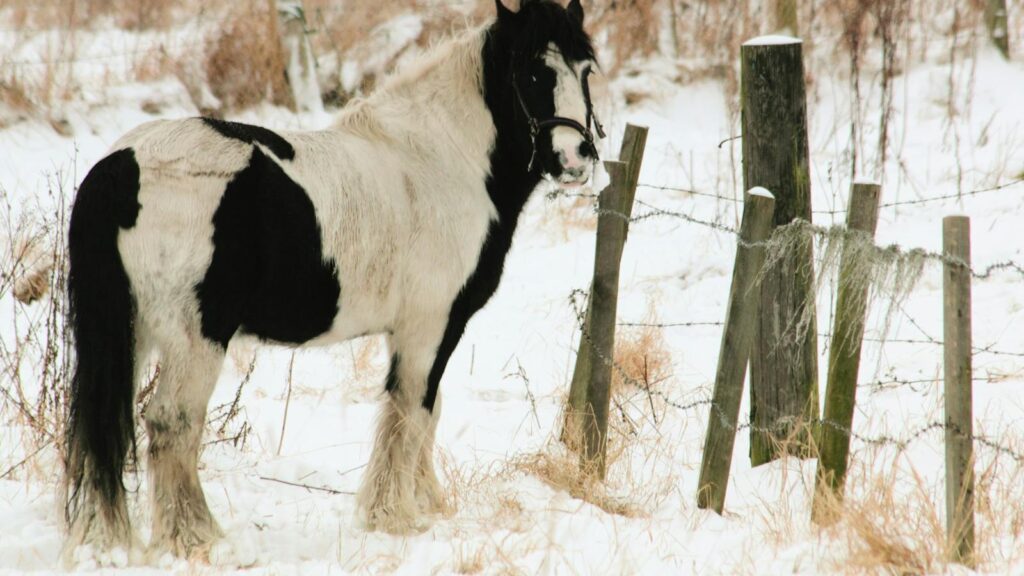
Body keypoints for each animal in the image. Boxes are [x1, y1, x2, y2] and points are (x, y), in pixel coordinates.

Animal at [62, 0, 601, 564]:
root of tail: (122, 166)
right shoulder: (430, 326)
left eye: (585, 71)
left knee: (107, 424)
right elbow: (412, 412)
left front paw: (425, 504)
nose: (576, 159)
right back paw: (196, 536)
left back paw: (107, 535)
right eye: (533, 72)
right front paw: (397, 516)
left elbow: (427, 412)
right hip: (195, 338)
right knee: (172, 423)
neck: (443, 162)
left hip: (135, 332)